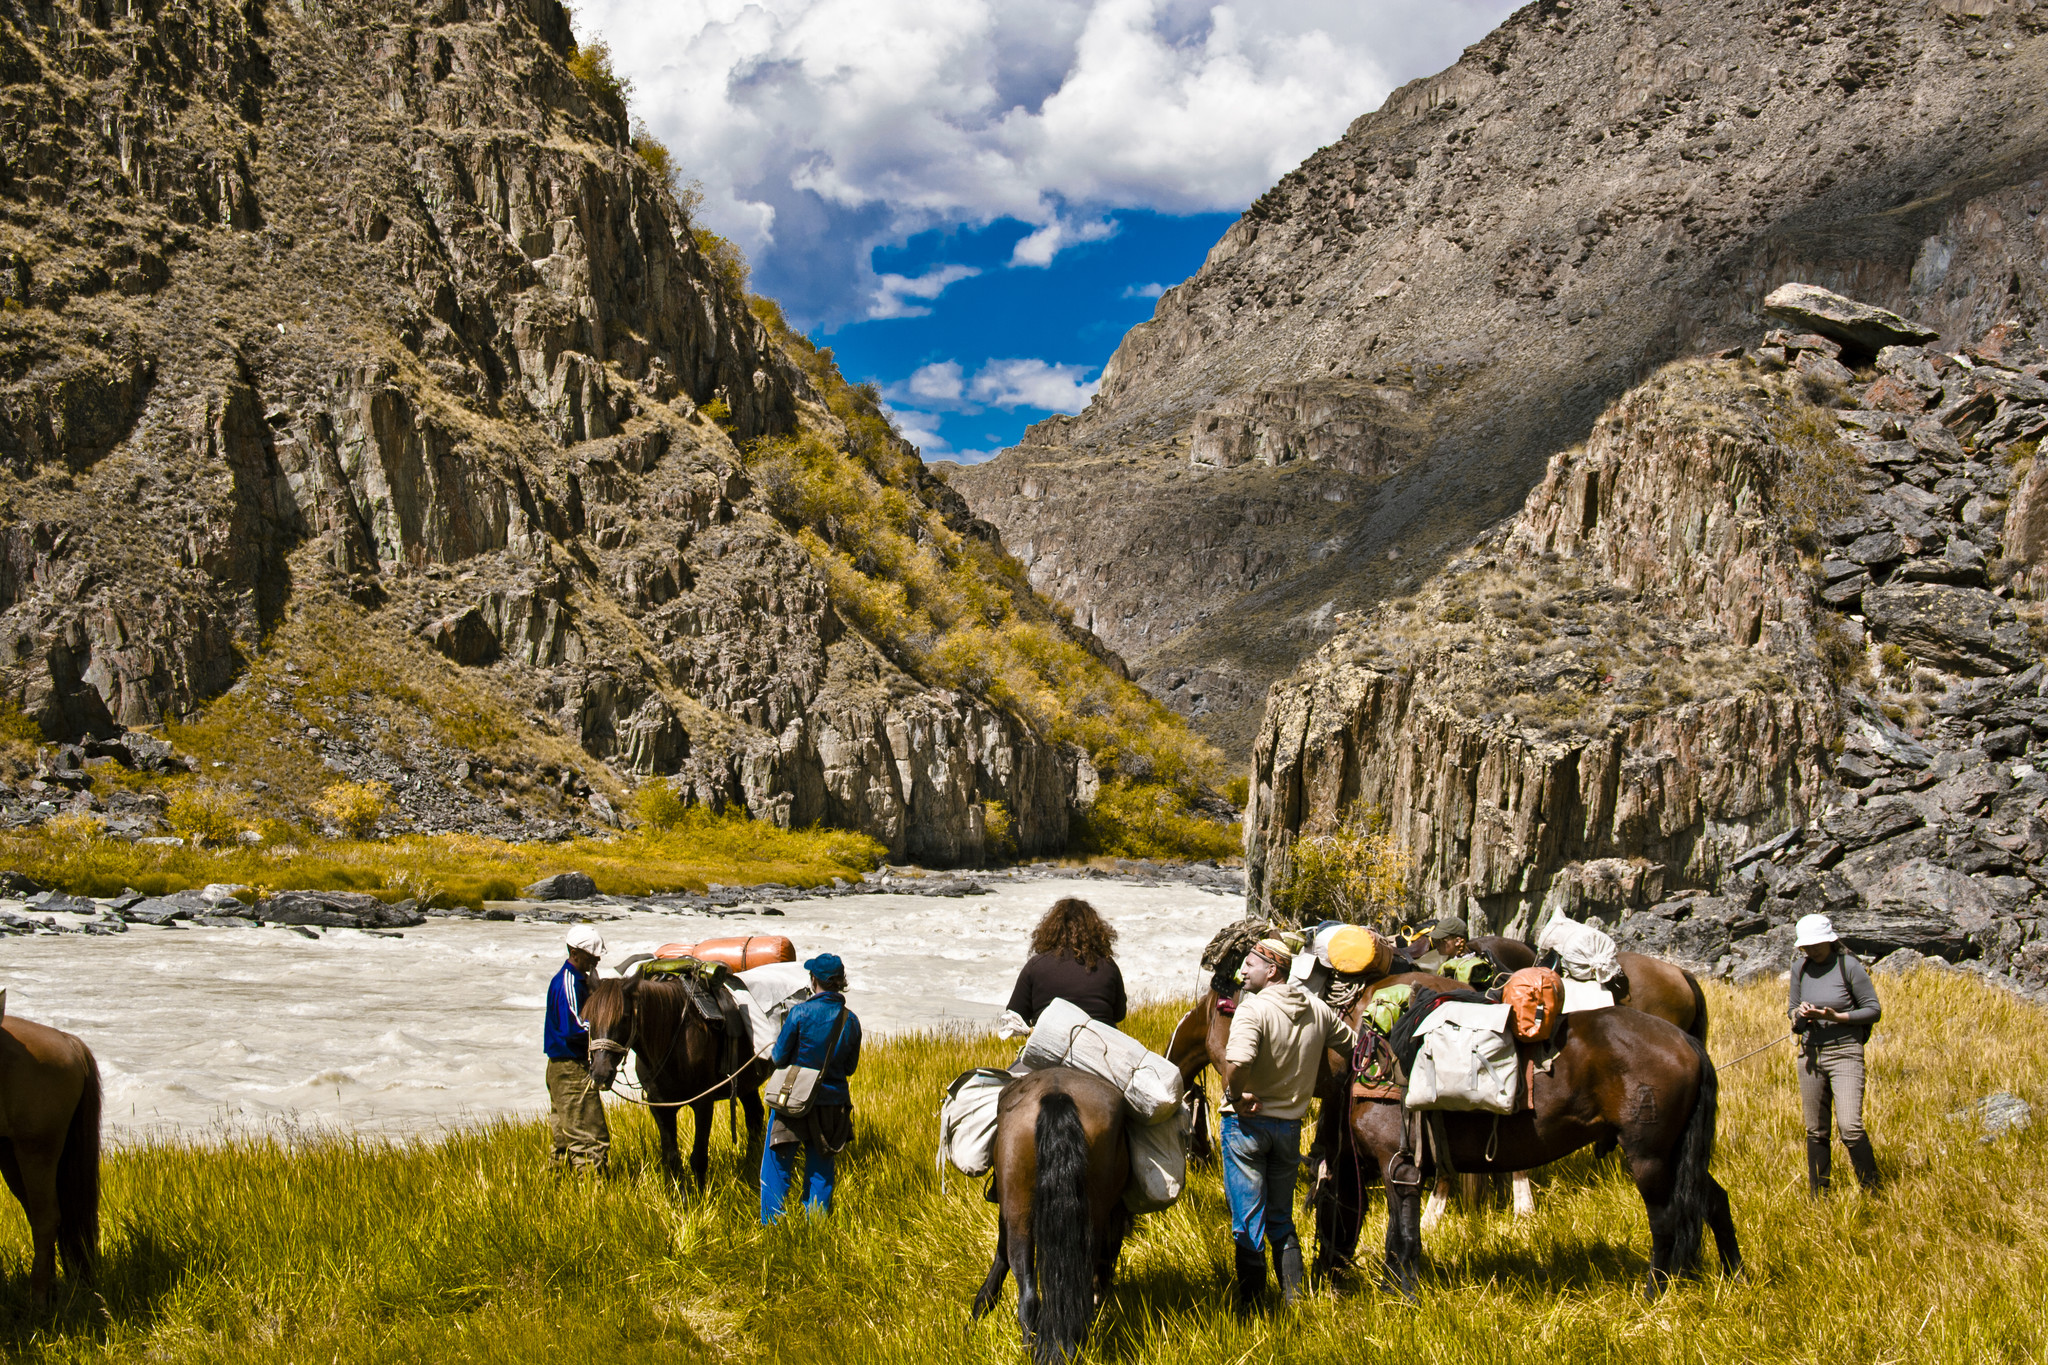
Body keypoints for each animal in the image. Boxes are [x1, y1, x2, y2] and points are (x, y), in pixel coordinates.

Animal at [0, 1002, 100, 1309]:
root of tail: (66, 1041)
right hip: (12, 1155)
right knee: (41, 1217)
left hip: (37, 1150)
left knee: (46, 1218)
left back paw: (40, 1299)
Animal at [581, 970, 770, 1186]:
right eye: (589, 1019)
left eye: (624, 1017)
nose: (600, 1073)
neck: (674, 1038)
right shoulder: (661, 1107)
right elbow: (671, 1158)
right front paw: (680, 1195)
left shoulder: (703, 1102)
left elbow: (698, 1158)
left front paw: (701, 1194)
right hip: (747, 1082)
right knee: (754, 1116)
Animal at [1335, 1010, 1736, 1301]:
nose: (1334, 1280)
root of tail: (1684, 1040)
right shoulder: (1398, 1172)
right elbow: (1396, 1233)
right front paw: (1392, 1288)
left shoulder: (1400, 1167)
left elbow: (1403, 1236)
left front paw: (1403, 1296)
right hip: (1676, 1155)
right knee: (1713, 1201)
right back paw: (1735, 1276)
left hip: (1649, 1157)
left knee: (1666, 1220)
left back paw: (1654, 1292)